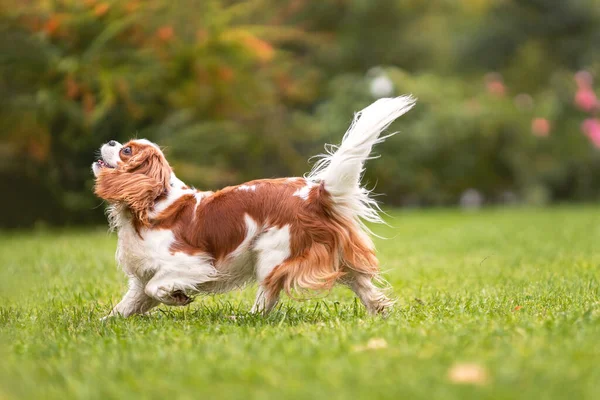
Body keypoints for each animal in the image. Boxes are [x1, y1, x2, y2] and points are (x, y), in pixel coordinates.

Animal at [94, 95, 414, 318]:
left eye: (126, 150)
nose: (109, 140)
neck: (151, 206)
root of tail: (315, 194)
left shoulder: (191, 263)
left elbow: (156, 287)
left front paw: (177, 297)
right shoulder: (142, 277)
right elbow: (126, 306)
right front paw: (103, 325)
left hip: (270, 253)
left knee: (267, 299)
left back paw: (244, 318)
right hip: (334, 254)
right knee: (363, 284)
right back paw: (378, 311)